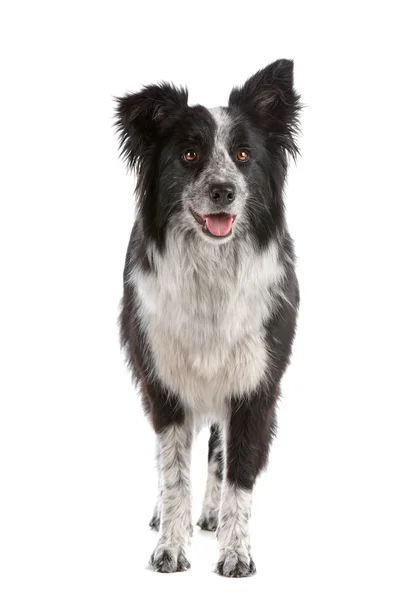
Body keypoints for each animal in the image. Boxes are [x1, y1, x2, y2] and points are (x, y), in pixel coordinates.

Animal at [114, 59, 302, 576]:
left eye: (242, 155)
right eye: (190, 154)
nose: (223, 190)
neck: (212, 270)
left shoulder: (256, 385)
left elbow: (239, 474)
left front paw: (236, 552)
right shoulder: (163, 381)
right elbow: (174, 472)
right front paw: (170, 548)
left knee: (220, 451)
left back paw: (213, 517)